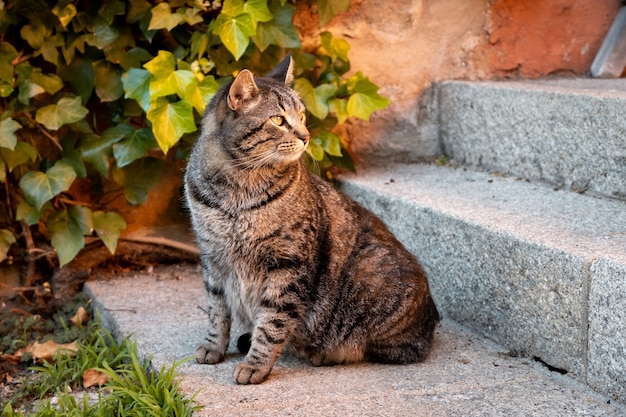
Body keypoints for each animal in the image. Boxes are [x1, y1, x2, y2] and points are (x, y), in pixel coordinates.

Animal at [184, 56, 438, 384]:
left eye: (302, 116)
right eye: (278, 120)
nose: (306, 137)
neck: (237, 190)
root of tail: (433, 317)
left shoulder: (289, 265)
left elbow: (273, 323)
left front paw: (256, 364)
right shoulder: (212, 259)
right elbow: (217, 311)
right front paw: (214, 346)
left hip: (370, 274)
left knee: (391, 348)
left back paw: (322, 352)